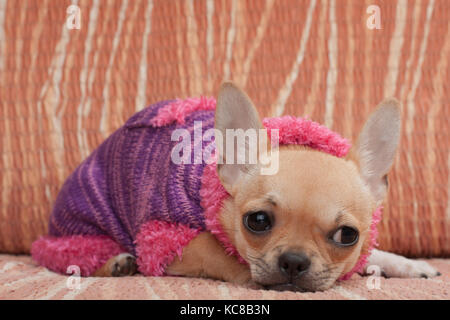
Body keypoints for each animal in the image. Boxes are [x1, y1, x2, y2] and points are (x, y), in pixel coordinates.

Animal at [34, 81, 440, 292]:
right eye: (257, 221)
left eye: (347, 236)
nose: (294, 261)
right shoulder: (167, 239)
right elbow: (223, 255)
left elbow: (374, 256)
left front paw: (405, 265)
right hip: (83, 232)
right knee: (77, 259)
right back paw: (117, 263)